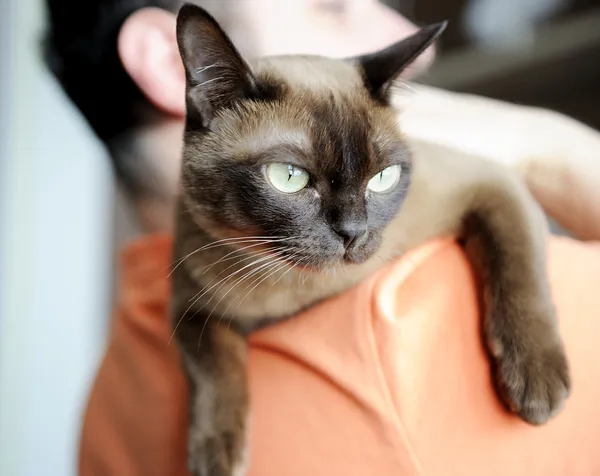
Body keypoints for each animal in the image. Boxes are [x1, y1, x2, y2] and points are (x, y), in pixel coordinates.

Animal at [171, 4, 568, 476]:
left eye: (382, 178)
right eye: (289, 177)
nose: (352, 232)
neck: (296, 295)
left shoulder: (493, 184)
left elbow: (518, 274)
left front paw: (537, 386)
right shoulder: (190, 307)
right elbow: (215, 370)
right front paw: (216, 458)